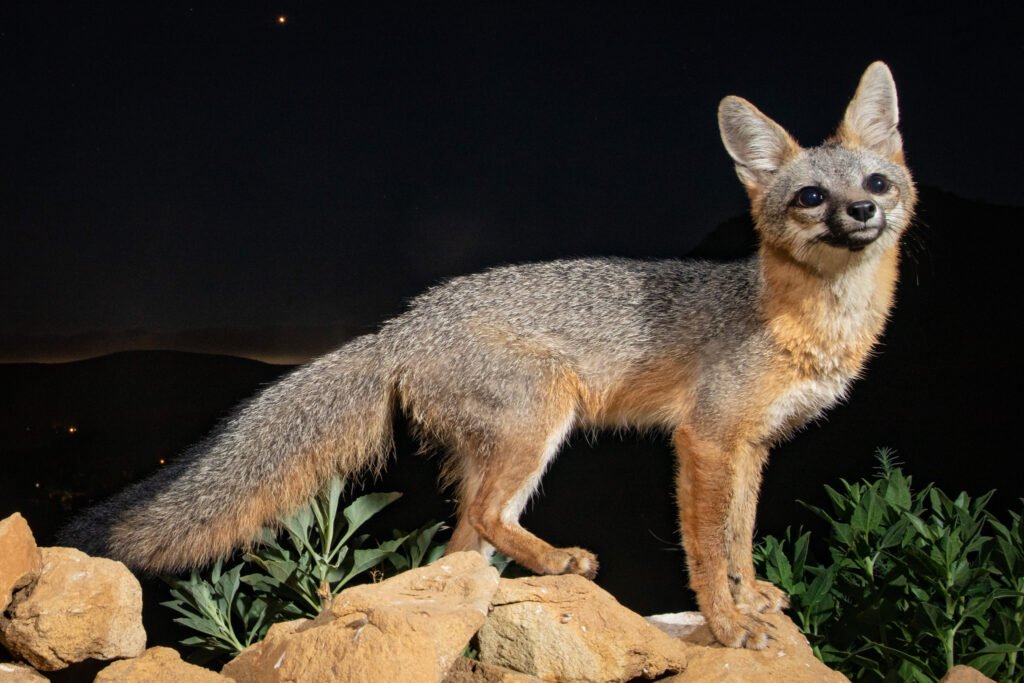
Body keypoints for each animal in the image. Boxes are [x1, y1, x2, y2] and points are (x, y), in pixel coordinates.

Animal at [60, 62, 915, 649]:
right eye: (811, 197)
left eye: (876, 181)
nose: (862, 211)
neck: (802, 320)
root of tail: (402, 323)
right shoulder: (705, 439)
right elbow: (707, 546)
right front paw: (729, 623)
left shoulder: (753, 446)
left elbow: (739, 536)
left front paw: (752, 595)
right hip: (540, 422)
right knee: (486, 517)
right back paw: (558, 561)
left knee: (459, 546)